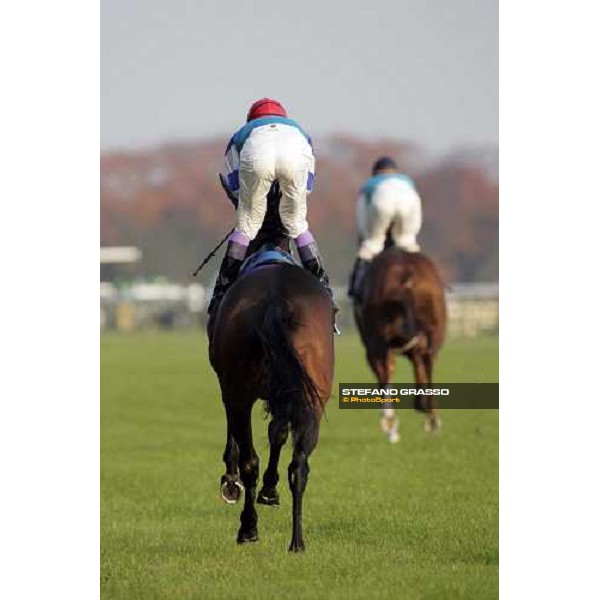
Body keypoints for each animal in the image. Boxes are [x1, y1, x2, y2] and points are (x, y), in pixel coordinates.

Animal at [209, 184, 336, 552]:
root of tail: (277, 301)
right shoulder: (289, 389)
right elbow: (278, 433)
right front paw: (270, 489)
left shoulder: (230, 387)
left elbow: (243, 444)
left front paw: (233, 482)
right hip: (314, 392)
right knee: (300, 464)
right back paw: (297, 542)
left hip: (238, 389)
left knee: (251, 459)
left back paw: (248, 527)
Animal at [354, 246, 448, 438]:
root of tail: (406, 273)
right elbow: (419, 367)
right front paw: (421, 405)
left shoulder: (374, 346)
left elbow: (386, 372)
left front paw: (389, 422)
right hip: (433, 332)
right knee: (428, 362)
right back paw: (431, 418)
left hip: (378, 340)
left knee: (387, 370)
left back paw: (390, 421)